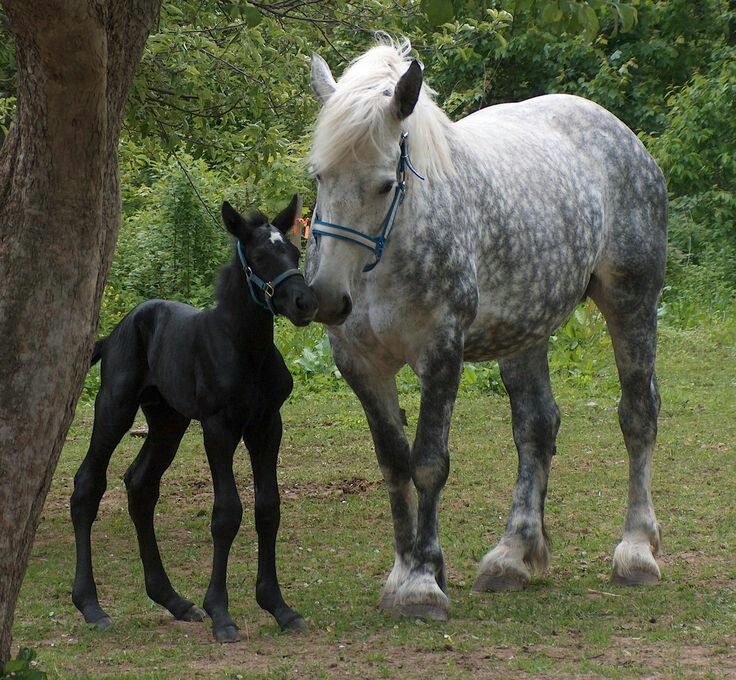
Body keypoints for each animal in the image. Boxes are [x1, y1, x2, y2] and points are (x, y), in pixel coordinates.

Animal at [70, 194, 318, 640]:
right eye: (259, 256)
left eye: (293, 252)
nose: (305, 303)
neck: (244, 348)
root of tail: (116, 332)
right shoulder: (218, 428)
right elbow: (227, 513)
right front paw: (221, 613)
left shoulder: (267, 426)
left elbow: (268, 508)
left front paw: (279, 607)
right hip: (115, 406)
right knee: (87, 485)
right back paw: (91, 606)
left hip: (168, 421)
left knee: (140, 485)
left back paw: (173, 600)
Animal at [304, 38, 668, 620]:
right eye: (319, 176)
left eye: (384, 185)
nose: (326, 298)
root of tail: (623, 136)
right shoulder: (362, 365)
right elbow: (393, 464)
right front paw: (405, 570)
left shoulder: (441, 352)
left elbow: (428, 463)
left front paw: (423, 584)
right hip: (526, 330)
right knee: (537, 427)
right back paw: (513, 555)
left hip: (631, 303)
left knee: (637, 416)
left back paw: (635, 551)